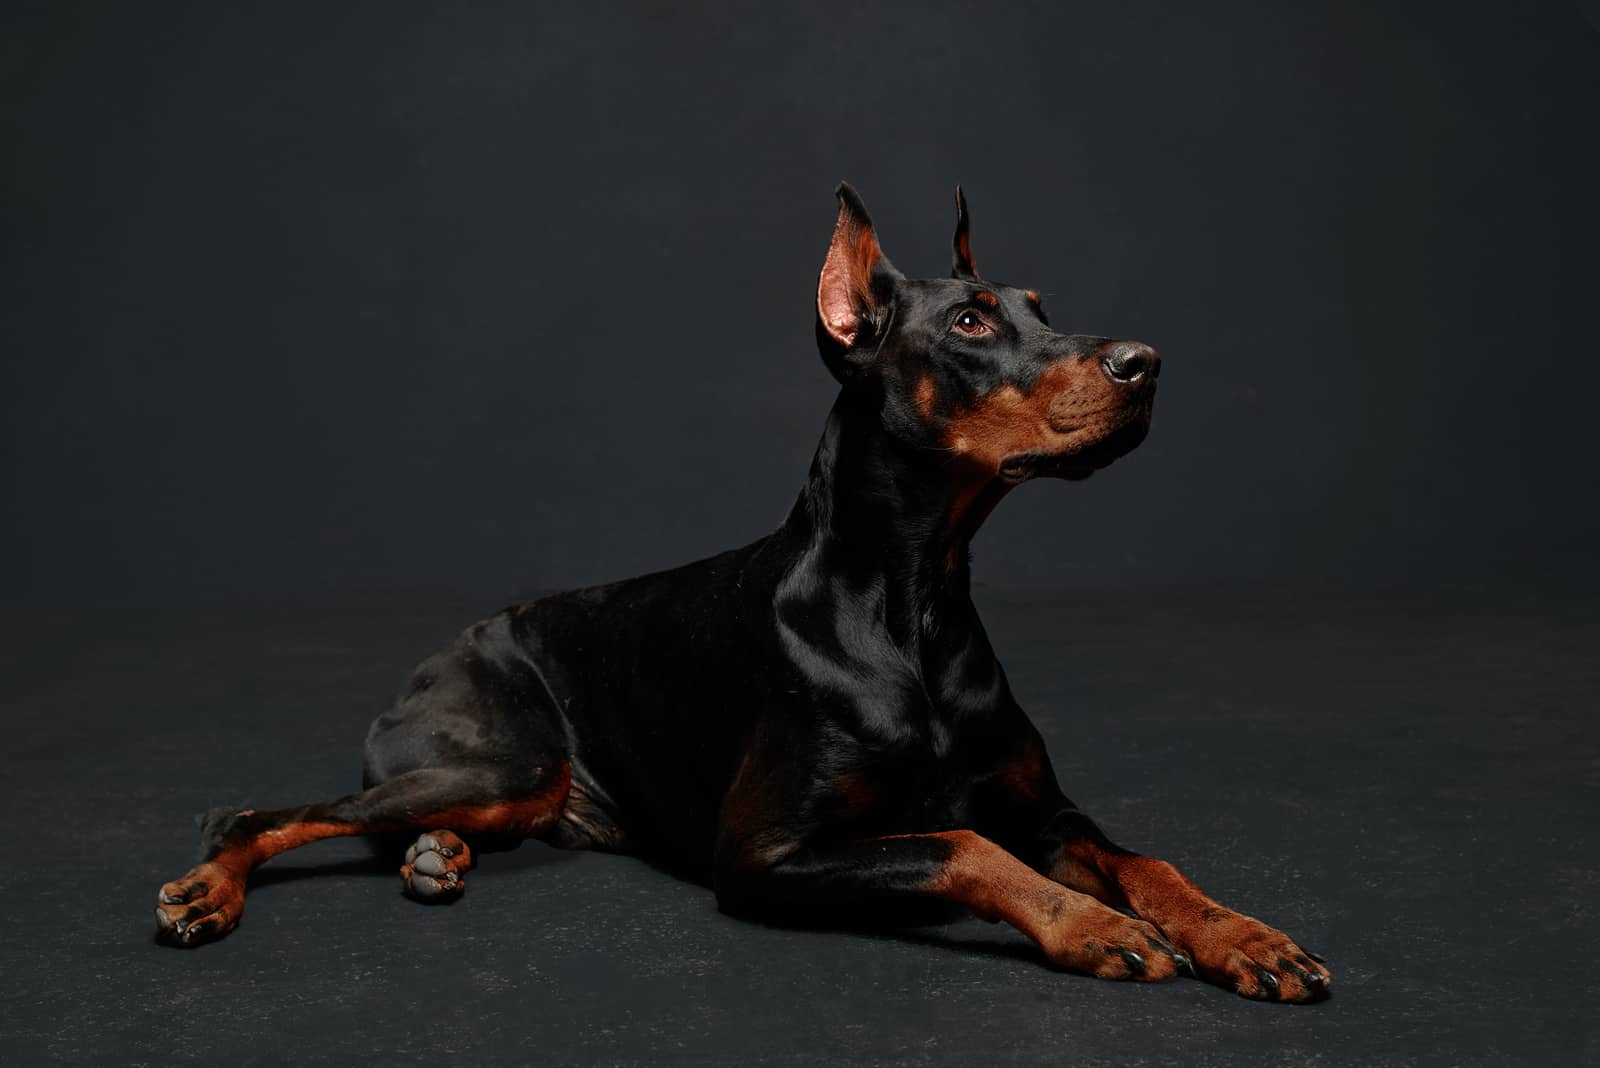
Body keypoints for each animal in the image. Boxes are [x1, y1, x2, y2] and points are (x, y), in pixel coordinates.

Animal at [159, 181, 1337, 1004]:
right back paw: (209, 892)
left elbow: (1146, 859)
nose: (1147, 361)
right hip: (505, 753)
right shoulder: (766, 855)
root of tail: (439, 648)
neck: (913, 600)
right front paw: (1097, 929)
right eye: (969, 324)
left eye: (1044, 308)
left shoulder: (1042, 805)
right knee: (257, 811)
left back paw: (435, 858)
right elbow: (968, 847)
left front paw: (1243, 935)